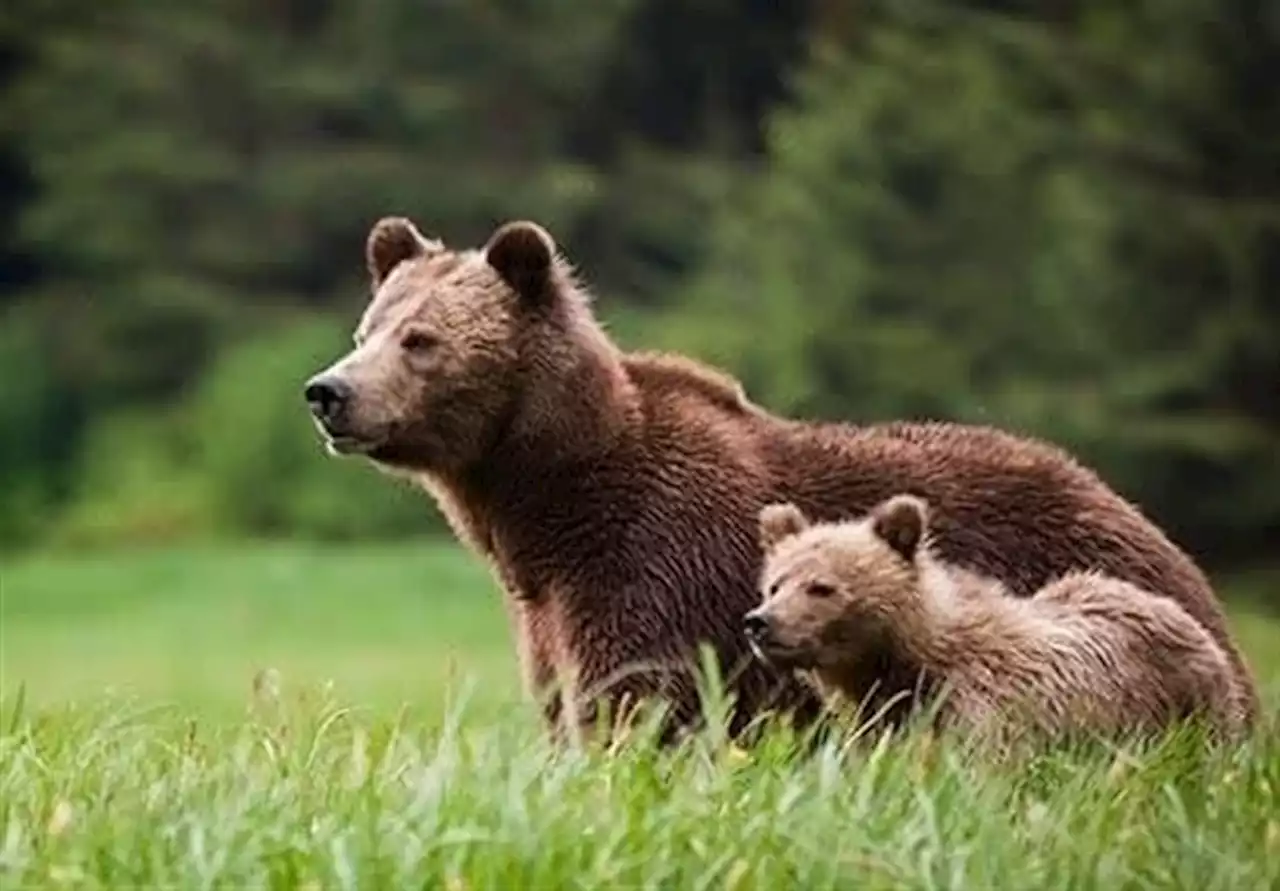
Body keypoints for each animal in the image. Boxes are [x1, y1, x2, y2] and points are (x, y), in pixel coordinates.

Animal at [747, 494, 1244, 742]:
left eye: (821, 586)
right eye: (775, 584)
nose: (761, 622)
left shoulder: (989, 705)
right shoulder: (880, 718)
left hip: (1192, 705)